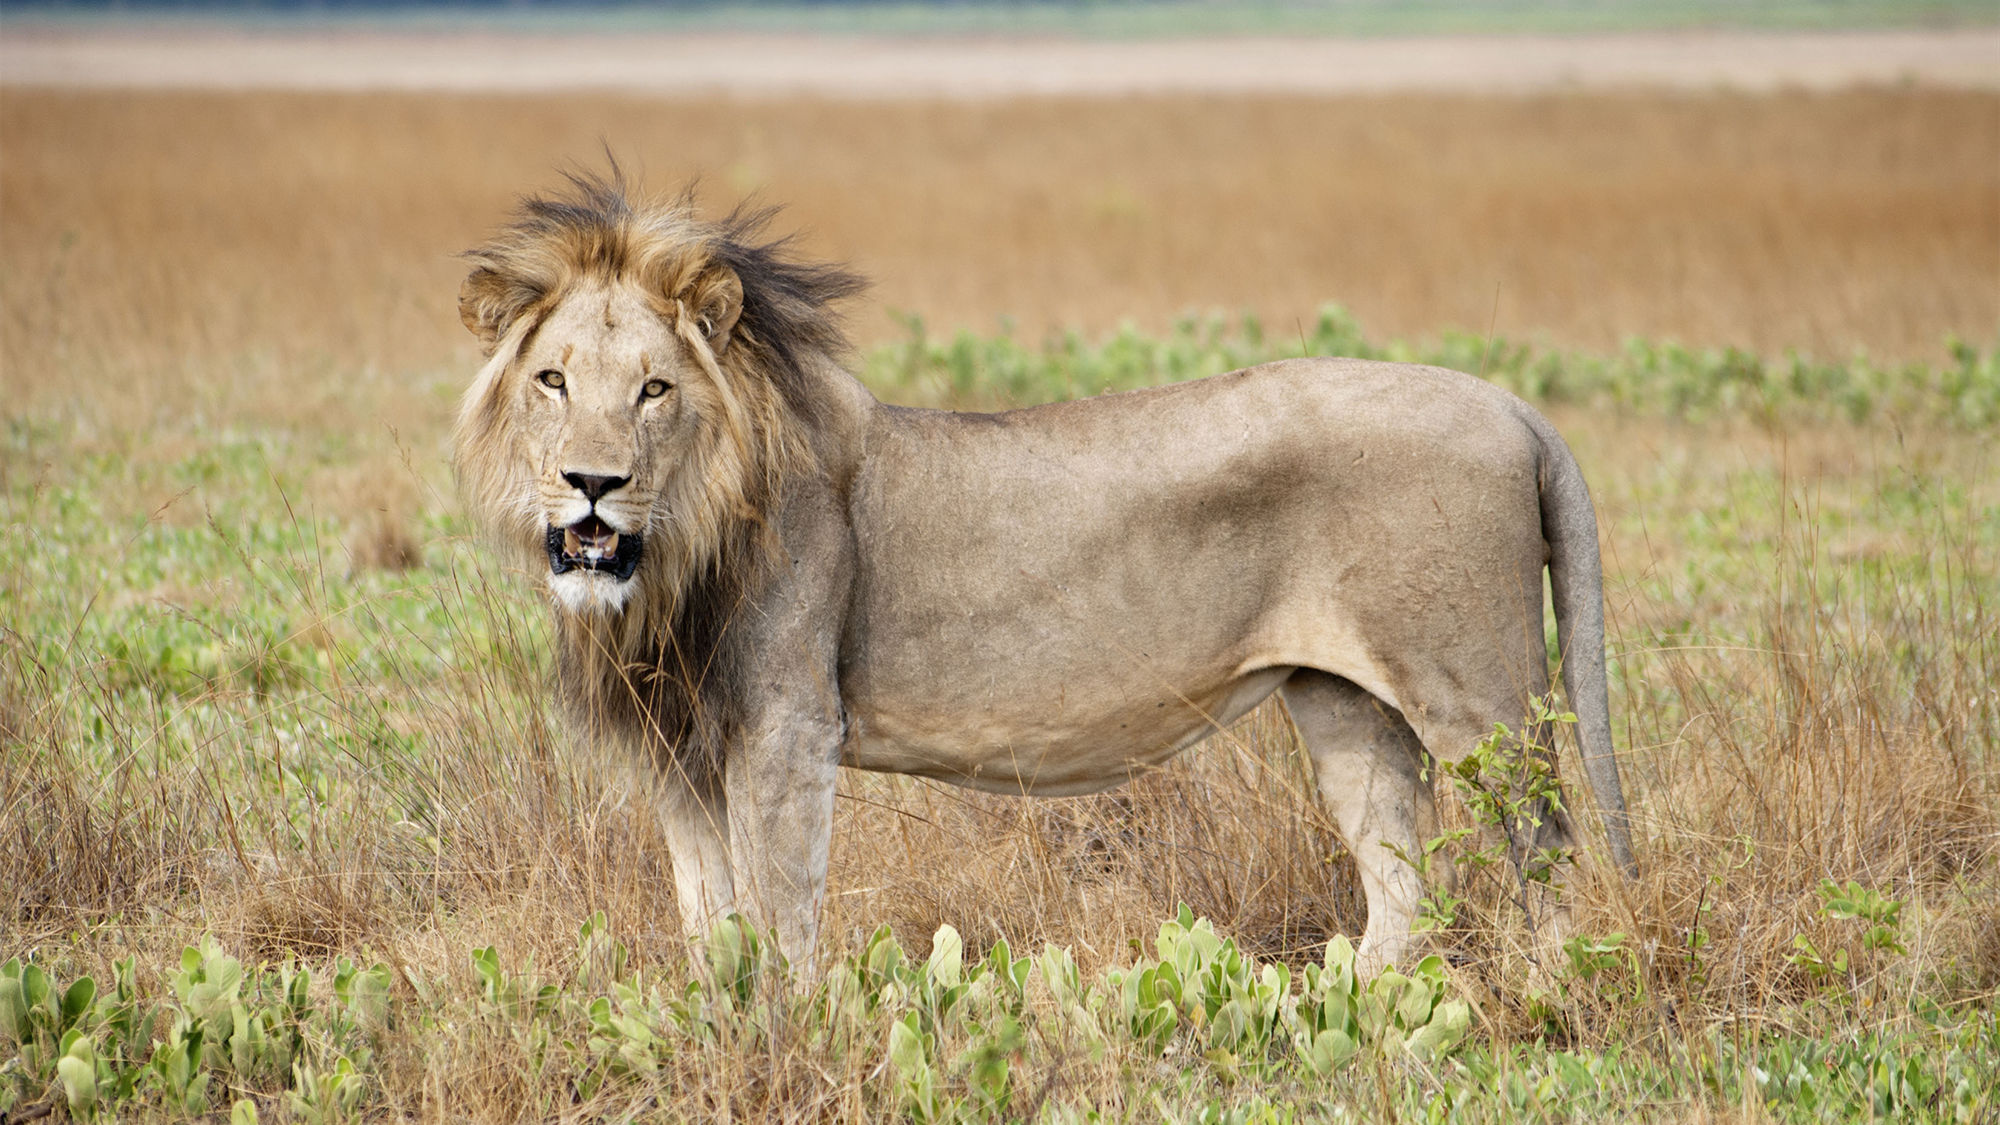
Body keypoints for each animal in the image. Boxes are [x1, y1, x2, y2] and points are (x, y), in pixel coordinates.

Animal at [455, 172, 1637, 974]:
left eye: (654, 389)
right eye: (553, 380)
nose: (592, 486)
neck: (679, 551)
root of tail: (1509, 403)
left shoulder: (787, 727)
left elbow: (782, 916)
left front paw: (787, 1040)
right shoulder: (678, 746)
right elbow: (711, 923)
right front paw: (720, 1026)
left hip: (1479, 698)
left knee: (1550, 851)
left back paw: (1543, 995)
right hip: (1342, 701)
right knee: (1399, 875)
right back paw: (1360, 1006)